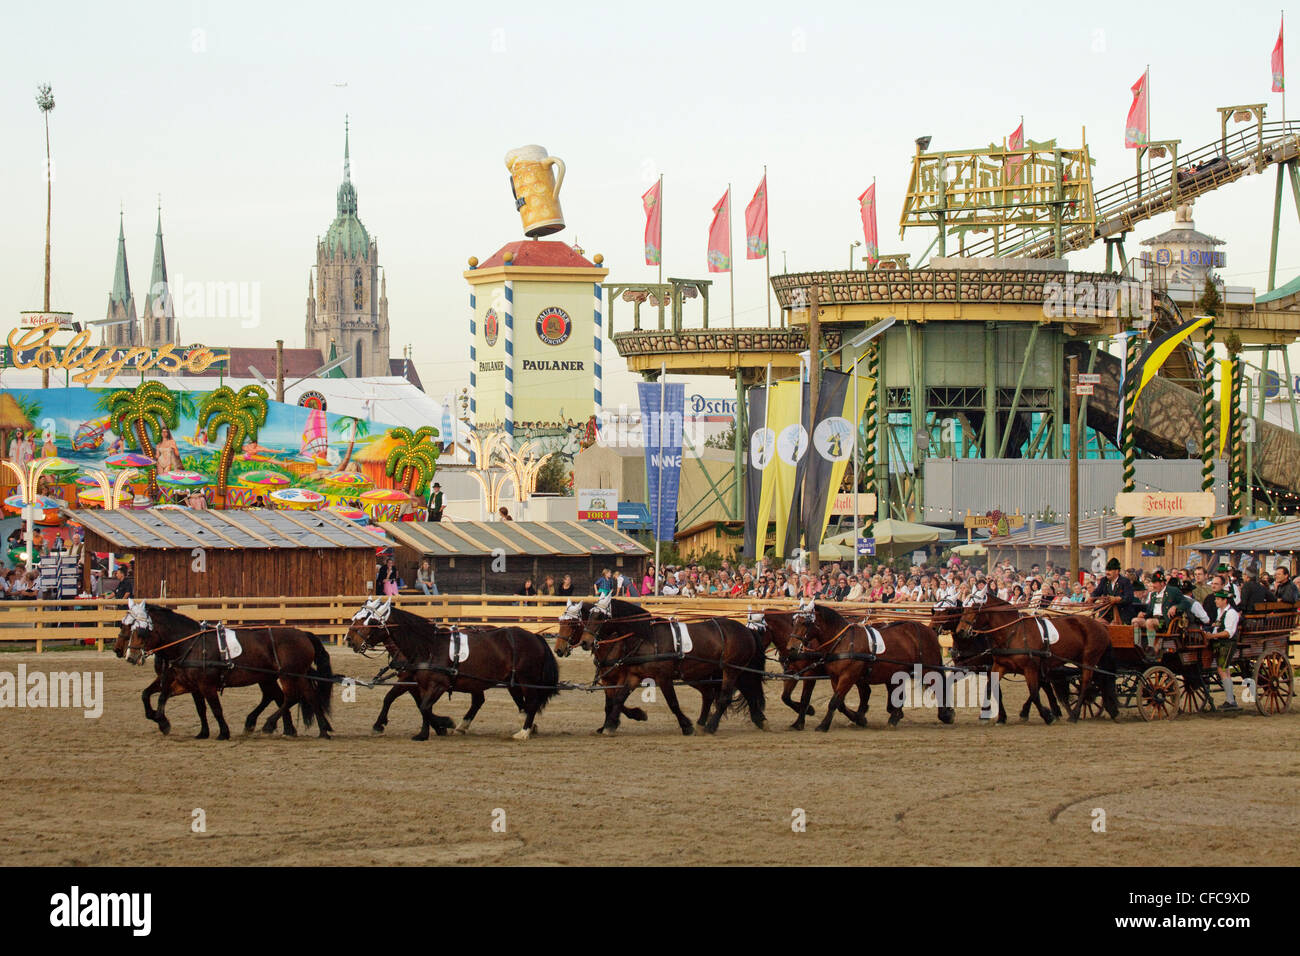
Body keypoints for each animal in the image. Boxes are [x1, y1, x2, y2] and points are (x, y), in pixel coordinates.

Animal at [117, 600, 338, 743]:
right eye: (126, 627)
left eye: (140, 631)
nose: (127, 654)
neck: (190, 643)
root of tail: (303, 634)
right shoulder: (188, 684)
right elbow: (175, 701)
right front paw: (176, 725)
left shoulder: (206, 685)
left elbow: (215, 708)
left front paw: (223, 732)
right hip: (289, 675)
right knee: (305, 696)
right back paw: (320, 730)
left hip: (288, 675)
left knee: (291, 697)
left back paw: (269, 725)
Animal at [348, 598, 561, 738]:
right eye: (355, 616)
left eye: (370, 620)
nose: (349, 639)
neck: (428, 646)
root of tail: (535, 637)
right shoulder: (416, 682)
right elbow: (410, 703)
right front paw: (425, 731)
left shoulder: (436, 684)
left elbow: (424, 706)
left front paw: (442, 724)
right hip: (506, 681)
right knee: (489, 701)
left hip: (526, 680)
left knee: (531, 703)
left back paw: (524, 731)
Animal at [572, 595, 769, 738]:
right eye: (589, 616)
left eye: (600, 616)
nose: (585, 642)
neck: (648, 637)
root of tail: (746, 630)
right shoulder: (635, 675)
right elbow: (619, 698)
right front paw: (611, 725)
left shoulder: (663, 677)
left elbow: (673, 703)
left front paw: (686, 726)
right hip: (727, 671)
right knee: (734, 692)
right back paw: (756, 719)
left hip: (731, 670)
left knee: (724, 697)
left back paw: (711, 726)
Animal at [780, 600, 956, 728]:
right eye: (794, 621)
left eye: (805, 623)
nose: (791, 648)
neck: (843, 641)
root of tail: (928, 630)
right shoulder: (835, 677)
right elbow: (838, 701)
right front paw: (858, 718)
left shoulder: (848, 676)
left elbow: (834, 701)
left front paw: (823, 725)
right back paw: (894, 717)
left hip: (928, 668)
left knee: (939, 685)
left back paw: (946, 715)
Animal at [951, 598, 1123, 723]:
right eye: (964, 610)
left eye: (974, 610)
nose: (960, 631)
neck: (1013, 632)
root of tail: (1100, 626)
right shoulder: (999, 666)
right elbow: (990, 688)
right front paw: (992, 716)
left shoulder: (1030, 668)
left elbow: (1034, 692)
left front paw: (1047, 716)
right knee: (1100, 680)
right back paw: (1110, 709)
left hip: (1089, 659)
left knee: (1086, 684)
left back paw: (1074, 714)